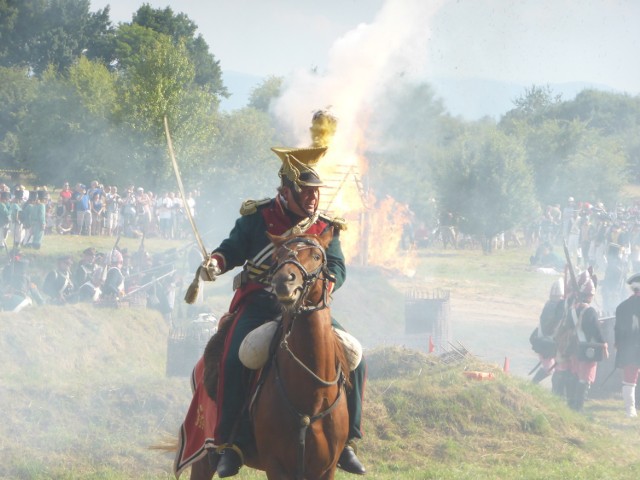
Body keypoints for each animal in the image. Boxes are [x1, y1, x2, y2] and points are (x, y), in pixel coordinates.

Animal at [188, 229, 348, 480]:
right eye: (278, 256)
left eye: (316, 256)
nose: (283, 282)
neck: (311, 395)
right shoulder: (276, 465)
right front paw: (211, 266)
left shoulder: (325, 469)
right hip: (203, 453)